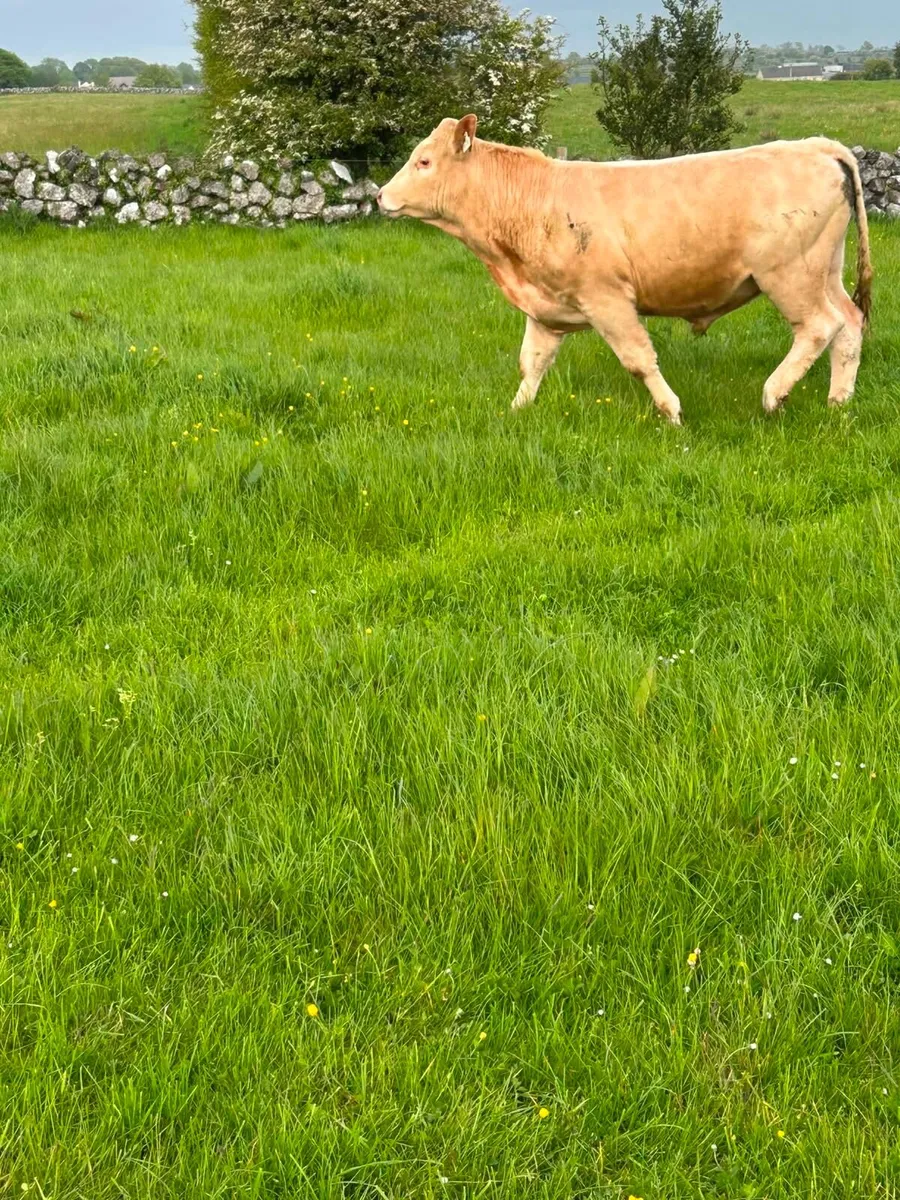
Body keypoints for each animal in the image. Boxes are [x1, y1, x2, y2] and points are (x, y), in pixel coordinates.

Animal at [377, 115, 872, 424]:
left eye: (424, 161)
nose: (380, 195)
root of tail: (815, 145)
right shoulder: (544, 307)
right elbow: (531, 364)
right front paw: (516, 412)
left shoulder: (607, 299)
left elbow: (638, 359)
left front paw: (671, 411)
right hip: (825, 270)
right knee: (849, 324)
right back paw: (839, 402)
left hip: (789, 274)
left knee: (819, 326)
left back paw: (775, 394)